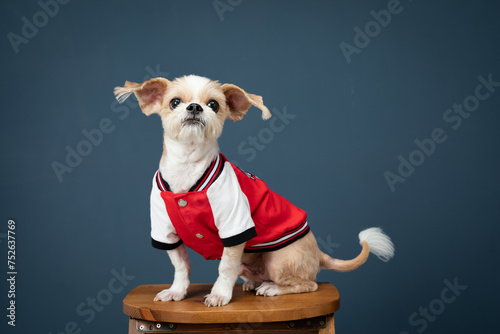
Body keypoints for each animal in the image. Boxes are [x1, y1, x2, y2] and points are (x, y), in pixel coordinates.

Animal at [114, 74, 394, 306]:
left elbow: (225, 267)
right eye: (174, 102)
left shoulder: (235, 228)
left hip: (280, 259)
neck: (188, 166)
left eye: (214, 105)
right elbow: (181, 266)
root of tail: (317, 252)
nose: (194, 107)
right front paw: (177, 291)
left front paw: (219, 295)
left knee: (308, 284)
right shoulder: (166, 232)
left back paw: (272, 288)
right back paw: (254, 282)